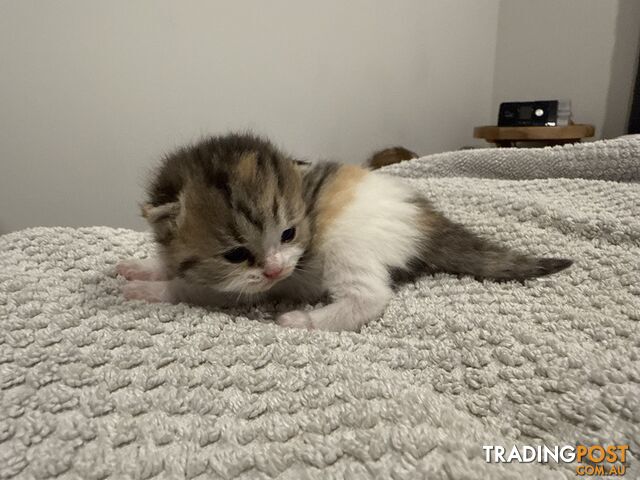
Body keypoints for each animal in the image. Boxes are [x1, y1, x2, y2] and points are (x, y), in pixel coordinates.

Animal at [117, 133, 572, 332]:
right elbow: (169, 265)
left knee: (370, 298)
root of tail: (422, 217)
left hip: (347, 244)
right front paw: (142, 267)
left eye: (289, 234)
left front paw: (150, 291)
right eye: (235, 254)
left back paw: (303, 320)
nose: (275, 270)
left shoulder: (246, 288)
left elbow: (191, 290)